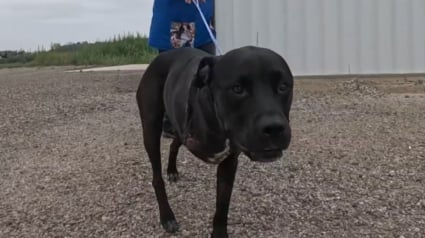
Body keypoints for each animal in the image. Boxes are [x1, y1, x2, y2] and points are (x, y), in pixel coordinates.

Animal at [136, 45, 292, 237]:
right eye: (237, 88)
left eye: (283, 86)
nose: (274, 128)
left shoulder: (229, 163)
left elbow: (222, 205)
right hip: (151, 130)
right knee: (157, 178)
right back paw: (167, 216)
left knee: (174, 144)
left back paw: (172, 170)